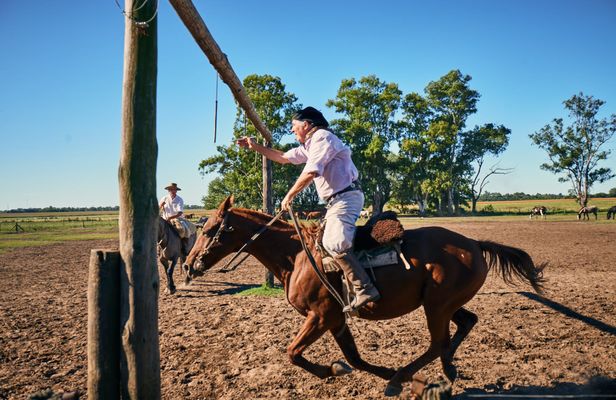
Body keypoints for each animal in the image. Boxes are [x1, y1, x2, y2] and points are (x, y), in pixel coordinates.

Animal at [183, 195, 544, 396]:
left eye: (208, 229)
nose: (187, 264)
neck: (296, 255)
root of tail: (474, 245)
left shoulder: (320, 316)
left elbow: (293, 353)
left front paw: (334, 371)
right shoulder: (336, 319)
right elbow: (354, 358)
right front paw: (354, 369)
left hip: (437, 306)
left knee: (438, 342)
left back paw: (407, 376)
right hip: (444, 304)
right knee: (466, 323)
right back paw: (445, 371)